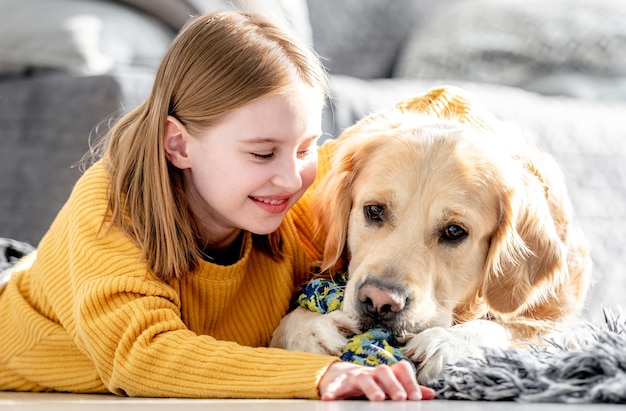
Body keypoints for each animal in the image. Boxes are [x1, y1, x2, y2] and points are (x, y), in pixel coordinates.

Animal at [270, 88, 588, 384]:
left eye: (454, 231)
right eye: (374, 210)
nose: (379, 301)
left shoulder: (563, 323)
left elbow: (511, 327)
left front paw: (451, 342)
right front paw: (310, 329)